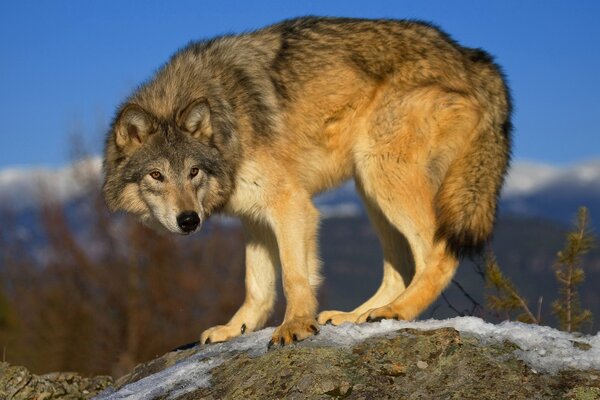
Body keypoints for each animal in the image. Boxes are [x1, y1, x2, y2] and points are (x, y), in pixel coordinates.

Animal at [102, 16, 510, 346]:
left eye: (193, 172)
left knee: (438, 254)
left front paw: (296, 325)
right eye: (157, 175)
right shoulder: (254, 218)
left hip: (382, 173)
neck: (227, 115)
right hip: (370, 189)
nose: (189, 220)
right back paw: (357, 316)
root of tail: (473, 57)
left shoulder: (290, 204)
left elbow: (294, 276)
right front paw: (236, 330)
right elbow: (257, 287)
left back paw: (397, 310)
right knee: (401, 269)